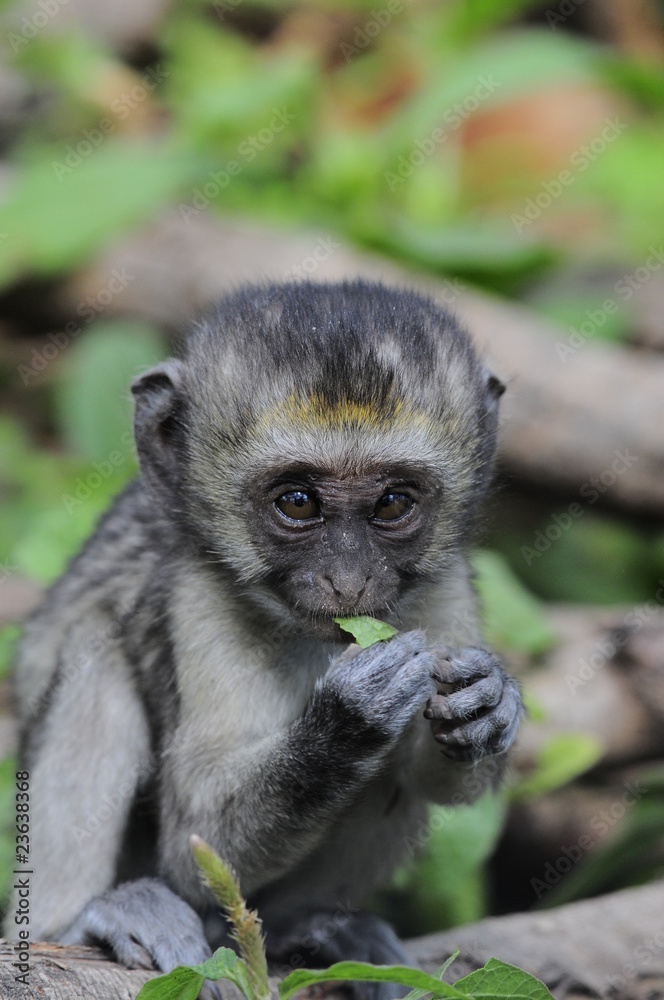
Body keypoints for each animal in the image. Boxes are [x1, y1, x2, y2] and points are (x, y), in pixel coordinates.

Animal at [7, 280, 520, 992]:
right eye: (298, 501)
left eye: (392, 503)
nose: (349, 581)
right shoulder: (200, 603)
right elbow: (193, 839)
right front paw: (349, 721)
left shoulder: (442, 595)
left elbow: (433, 775)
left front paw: (486, 703)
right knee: (95, 651)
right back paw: (80, 921)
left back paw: (308, 927)